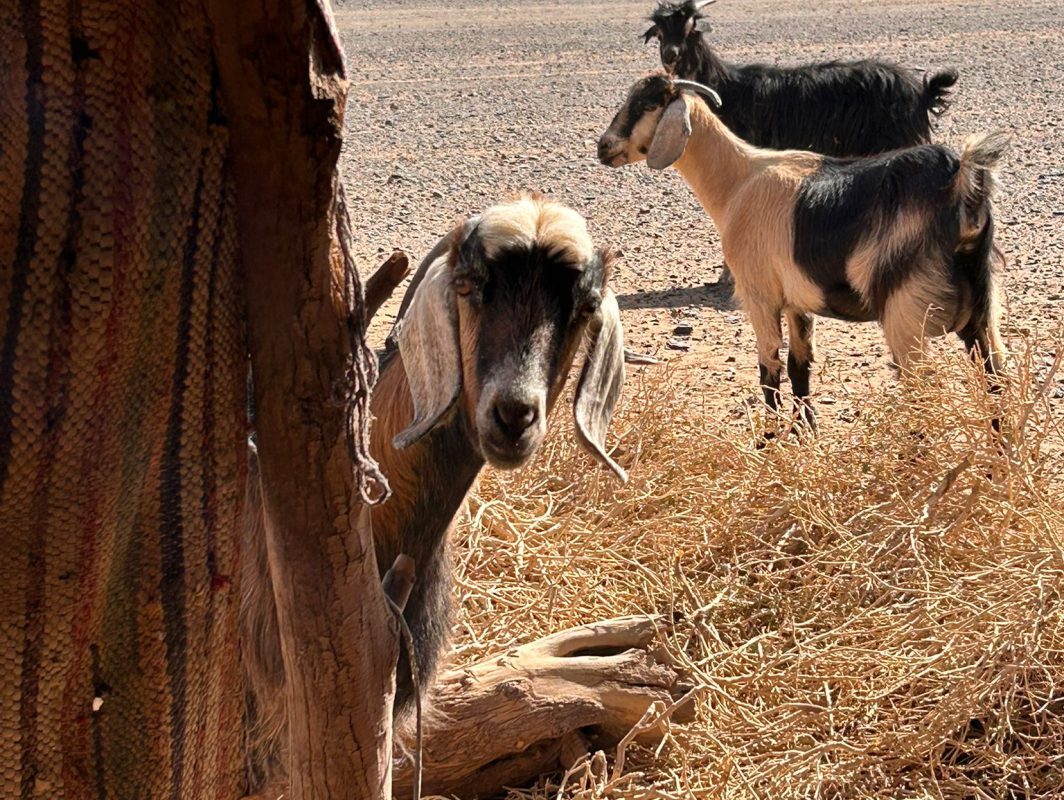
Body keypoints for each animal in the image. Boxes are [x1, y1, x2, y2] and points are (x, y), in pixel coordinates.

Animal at [598, 74, 1008, 427]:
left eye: (647, 103)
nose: (604, 147)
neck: (738, 182)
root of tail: (961, 187)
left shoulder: (759, 295)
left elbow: (768, 369)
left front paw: (768, 444)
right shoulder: (798, 301)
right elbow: (800, 367)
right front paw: (805, 434)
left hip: (907, 312)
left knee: (924, 389)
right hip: (981, 310)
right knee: (996, 378)